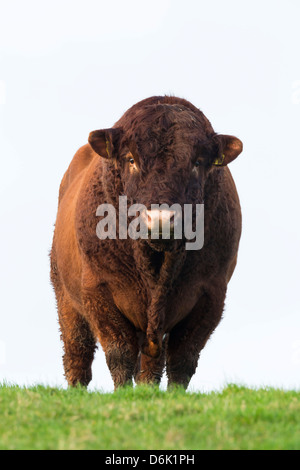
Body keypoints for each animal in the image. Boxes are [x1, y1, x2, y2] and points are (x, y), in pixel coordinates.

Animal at [51, 95, 244, 390]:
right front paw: (122, 393)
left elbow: (183, 358)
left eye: (198, 162)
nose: (162, 218)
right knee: (77, 349)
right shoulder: (98, 289)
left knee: (151, 364)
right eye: (131, 159)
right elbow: (119, 352)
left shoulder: (211, 293)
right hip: (64, 293)